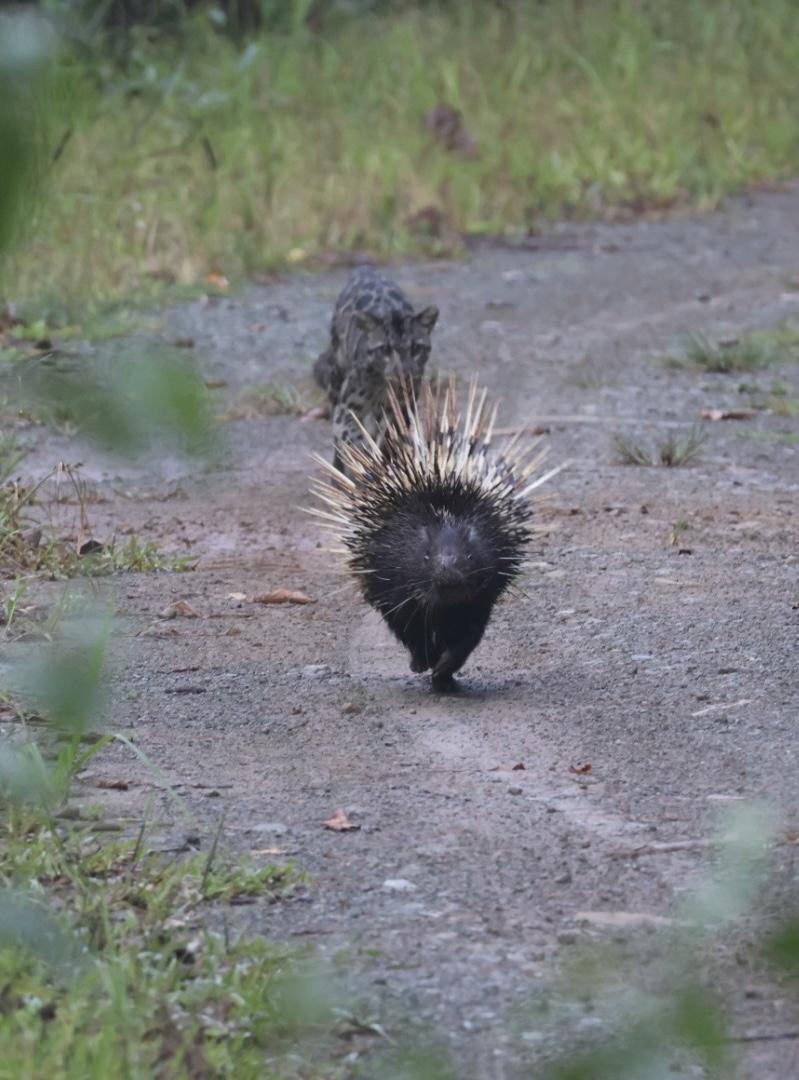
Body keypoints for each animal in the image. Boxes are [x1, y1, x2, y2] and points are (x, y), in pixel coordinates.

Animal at [313, 266, 439, 468]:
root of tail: (365, 269)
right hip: (336, 379)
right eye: (385, 348)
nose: (404, 372)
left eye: (416, 348)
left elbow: (389, 439)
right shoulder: (346, 411)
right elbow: (352, 439)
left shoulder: (401, 410)